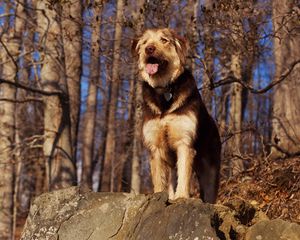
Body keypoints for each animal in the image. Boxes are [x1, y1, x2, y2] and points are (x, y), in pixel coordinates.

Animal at [132, 28, 221, 203]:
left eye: (164, 40)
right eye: (145, 42)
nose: (149, 49)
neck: (165, 89)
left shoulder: (184, 142)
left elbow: (184, 174)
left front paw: (181, 197)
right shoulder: (156, 147)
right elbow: (160, 179)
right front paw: (159, 195)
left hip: (210, 169)